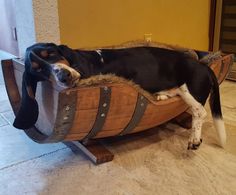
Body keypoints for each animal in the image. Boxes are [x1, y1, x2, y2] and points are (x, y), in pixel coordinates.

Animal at [13, 42, 227, 149]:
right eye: (38, 70)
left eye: (50, 53)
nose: (64, 76)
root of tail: (204, 66)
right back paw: (161, 96)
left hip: (189, 90)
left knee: (199, 113)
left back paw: (194, 139)